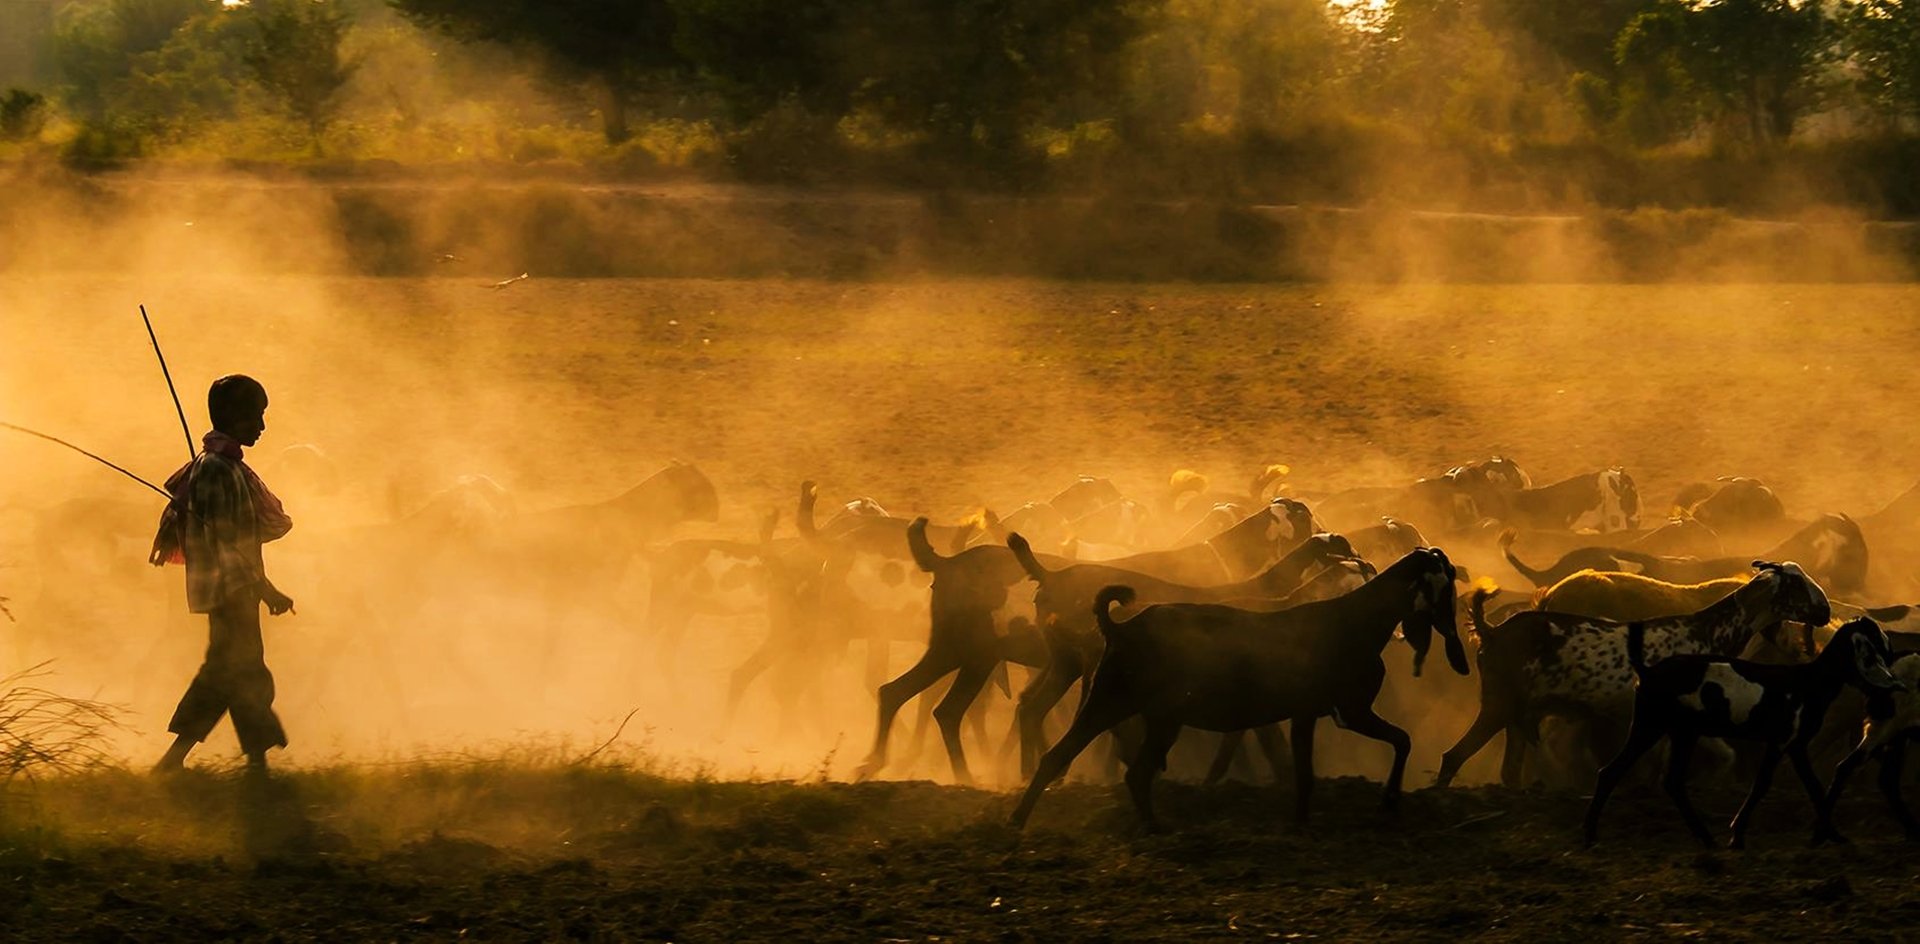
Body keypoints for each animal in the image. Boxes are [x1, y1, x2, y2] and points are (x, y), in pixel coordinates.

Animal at [1008, 548, 1469, 830]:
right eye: (1444, 585)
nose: (1453, 629)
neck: (1355, 621)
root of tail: (1119, 627)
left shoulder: (1308, 713)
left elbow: (1306, 772)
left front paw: (1302, 820)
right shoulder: (1352, 710)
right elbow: (1402, 740)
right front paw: (1388, 800)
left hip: (1154, 715)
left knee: (1122, 770)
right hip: (1111, 700)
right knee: (1070, 755)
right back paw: (1023, 817)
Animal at [1435, 561, 1833, 788]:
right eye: (1797, 584)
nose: (1826, 610)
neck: (1708, 630)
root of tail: (1490, 630)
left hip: (1522, 715)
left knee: (1510, 770)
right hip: (1499, 705)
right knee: (1453, 757)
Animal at [1583, 617, 1904, 848]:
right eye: (1877, 646)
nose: (1892, 685)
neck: (1808, 682)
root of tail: (1647, 671)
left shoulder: (1795, 745)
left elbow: (1812, 786)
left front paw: (1833, 835)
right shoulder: (1782, 741)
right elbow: (1763, 784)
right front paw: (1737, 835)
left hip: (1671, 731)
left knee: (1650, 778)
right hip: (1658, 727)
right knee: (1627, 774)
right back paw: (1592, 836)